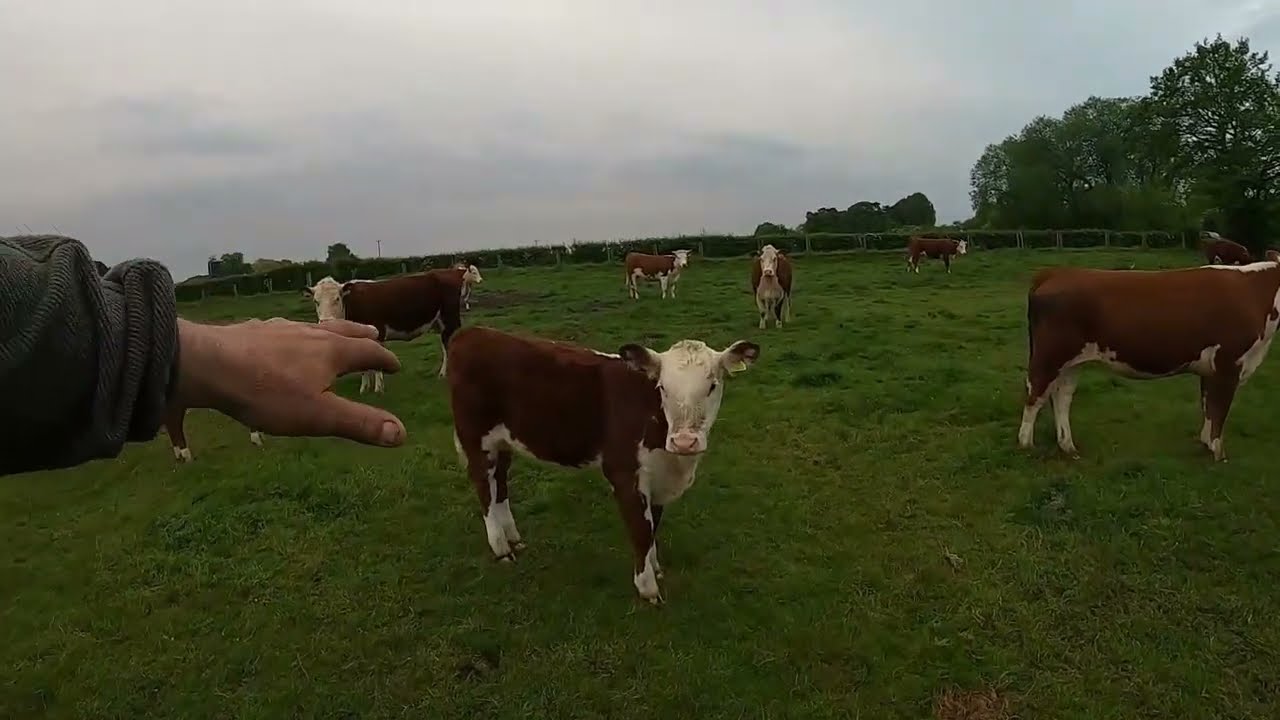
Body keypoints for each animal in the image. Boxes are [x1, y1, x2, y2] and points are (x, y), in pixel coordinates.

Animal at [304, 270, 463, 392]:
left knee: (448, 346)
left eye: (337, 299)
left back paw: (443, 374)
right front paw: (364, 388)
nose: (326, 322)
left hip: (450, 320)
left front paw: (378, 389)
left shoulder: (378, 332)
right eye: (316, 301)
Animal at [445, 325, 761, 605]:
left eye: (712, 386)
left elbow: (653, 526)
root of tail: (471, 332)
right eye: (662, 388)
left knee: (499, 484)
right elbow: (641, 531)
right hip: (475, 437)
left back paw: (513, 538)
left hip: (503, 442)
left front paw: (655, 568)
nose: (684, 441)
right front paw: (648, 589)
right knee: (484, 488)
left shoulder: (657, 479)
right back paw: (501, 548)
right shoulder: (624, 474)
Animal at [1018, 257, 1280, 462]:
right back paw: (1026, 444)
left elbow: (1208, 407)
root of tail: (1058, 272)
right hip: (1050, 356)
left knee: (1061, 397)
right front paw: (1218, 453)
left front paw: (1206, 444)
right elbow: (1219, 410)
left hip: (1071, 362)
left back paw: (1068, 446)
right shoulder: (1229, 365)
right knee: (1035, 395)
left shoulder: (1211, 369)